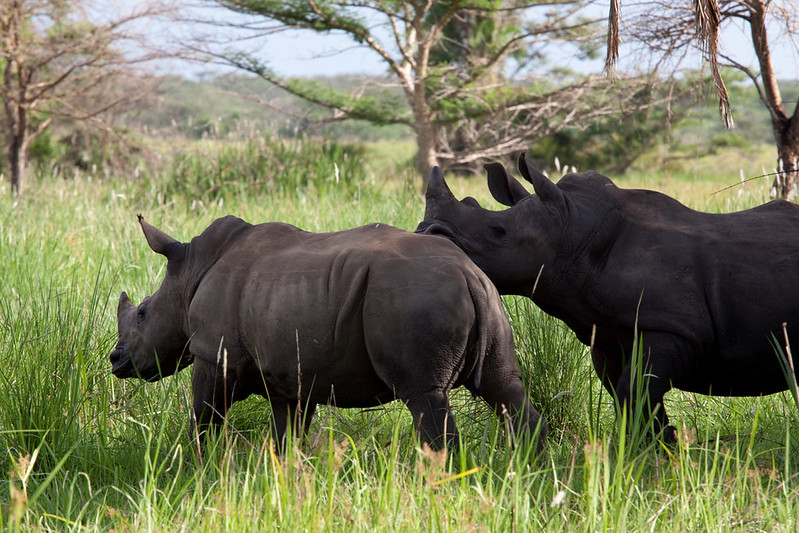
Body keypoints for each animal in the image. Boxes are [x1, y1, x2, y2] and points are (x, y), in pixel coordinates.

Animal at [110, 215, 546, 451]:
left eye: (143, 314)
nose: (115, 360)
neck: (188, 276)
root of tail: (469, 273)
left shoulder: (214, 353)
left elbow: (204, 417)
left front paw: (197, 464)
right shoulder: (290, 375)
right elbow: (286, 435)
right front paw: (285, 480)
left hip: (415, 296)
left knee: (425, 396)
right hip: (485, 298)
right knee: (505, 388)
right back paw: (533, 477)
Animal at [417, 153, 799, 442]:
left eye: (498, 231)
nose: (427, 233)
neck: (572, 232)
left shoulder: (674, 329)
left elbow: (635, 391)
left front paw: (651, 459)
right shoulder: (608, 334)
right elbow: (628, 396)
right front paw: (657, 452)